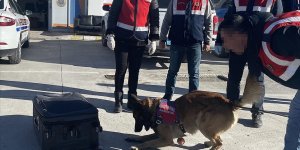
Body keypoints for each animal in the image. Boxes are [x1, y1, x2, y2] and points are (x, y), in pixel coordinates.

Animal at [126, 74, 262, 149]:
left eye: (137, 117)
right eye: (134, 117)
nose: (135, 130)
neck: (155, 110)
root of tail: (228, 102)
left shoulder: (166, 139)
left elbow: (147, 142)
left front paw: (136, 147)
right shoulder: (159, 135)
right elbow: (145, 137)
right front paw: (134, 138)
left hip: (202, 122)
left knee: (219, 143)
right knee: (218, 139)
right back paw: (208, 143)